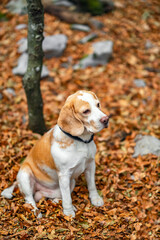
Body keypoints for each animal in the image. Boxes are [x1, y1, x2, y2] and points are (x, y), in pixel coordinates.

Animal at [1, 90, 109, 218]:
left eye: (98, 105)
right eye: (86, 111)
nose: (106, 119)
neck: (80, 141)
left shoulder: (90, 165)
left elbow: (92, 185)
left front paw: (95, 199)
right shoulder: (64, 175)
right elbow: (67, 198)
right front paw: (68, 213)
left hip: (71, 182)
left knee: (53, 196)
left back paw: (56, 201)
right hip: (25, 175)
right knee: (29, 199)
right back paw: (36, 212)